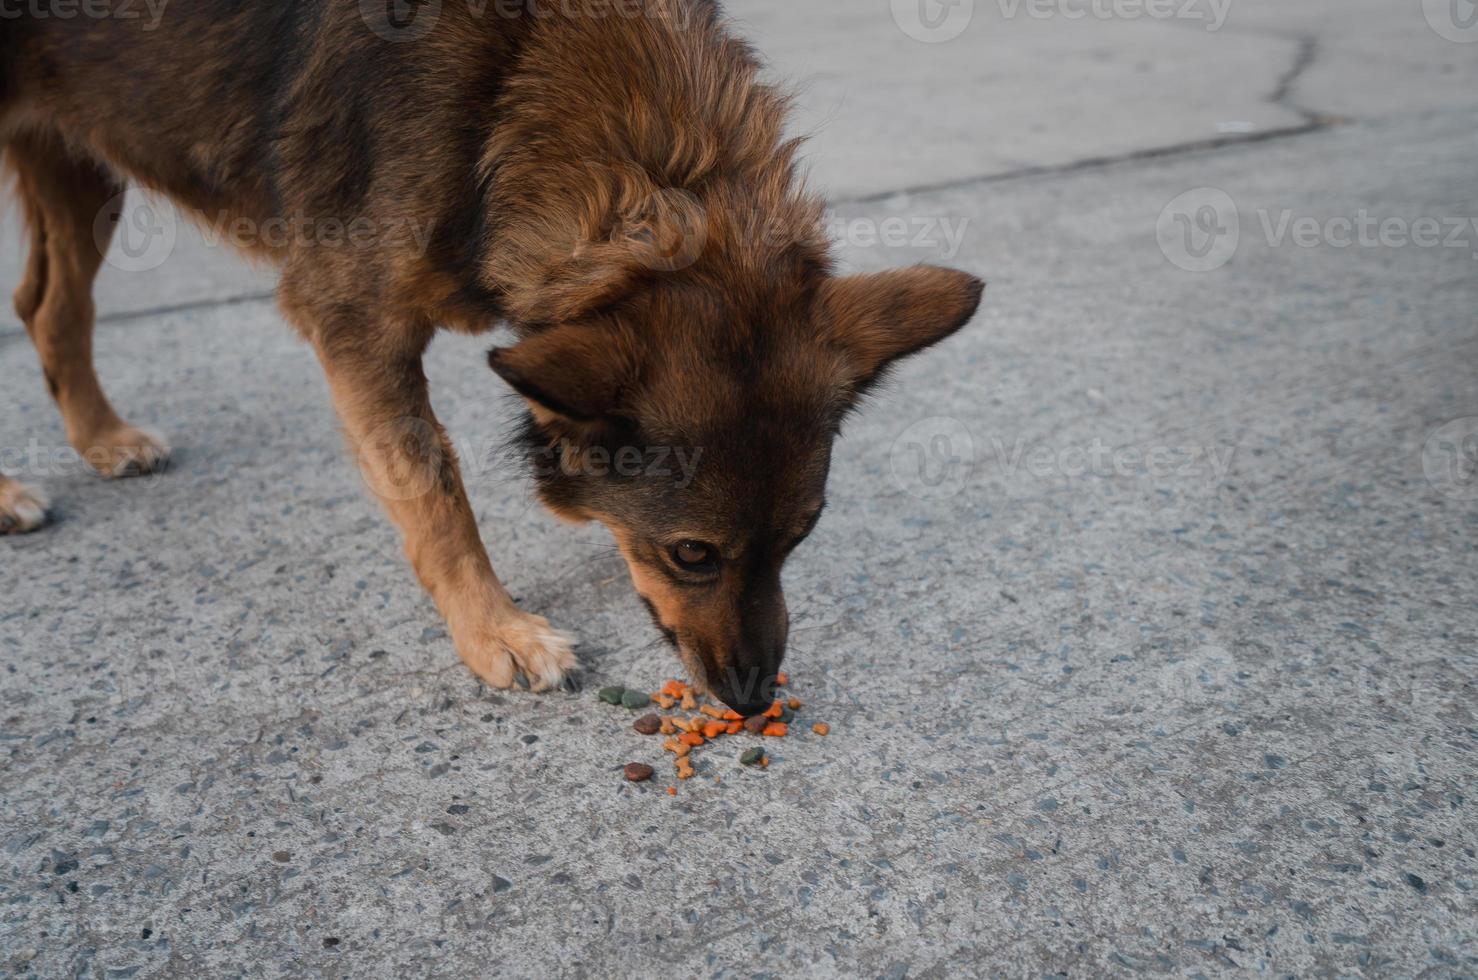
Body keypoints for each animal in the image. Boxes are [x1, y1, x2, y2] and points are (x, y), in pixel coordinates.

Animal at [2, 0, 981, 709]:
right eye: (693, 555)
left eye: (803, 534)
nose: (749, 700)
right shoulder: (354, 322)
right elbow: (433, 491)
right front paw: (495, 630)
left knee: (49, 307)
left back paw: (101, 438)